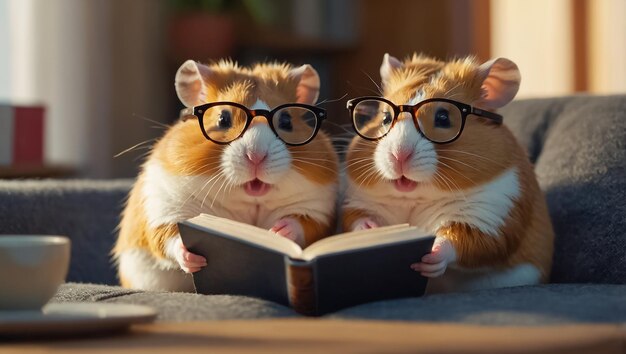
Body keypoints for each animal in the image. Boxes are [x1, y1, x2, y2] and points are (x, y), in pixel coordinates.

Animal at [112, 60, 336, 290]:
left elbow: (302, 224)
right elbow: (170, 238)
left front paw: (276, 232)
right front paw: (193, 259)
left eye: (286, 121)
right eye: (223, 118)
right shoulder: (164, 209)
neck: (249, 201)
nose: (256, 156)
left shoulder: (315, 209)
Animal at [342, 53, 552, 294]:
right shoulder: (361, 202)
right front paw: (370, 230)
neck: (415, 197)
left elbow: (457, 240)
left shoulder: (491, 215)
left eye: (443, 118)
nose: (398, 155)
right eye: (386, 118)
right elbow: (356, 218)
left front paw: (430, 257)